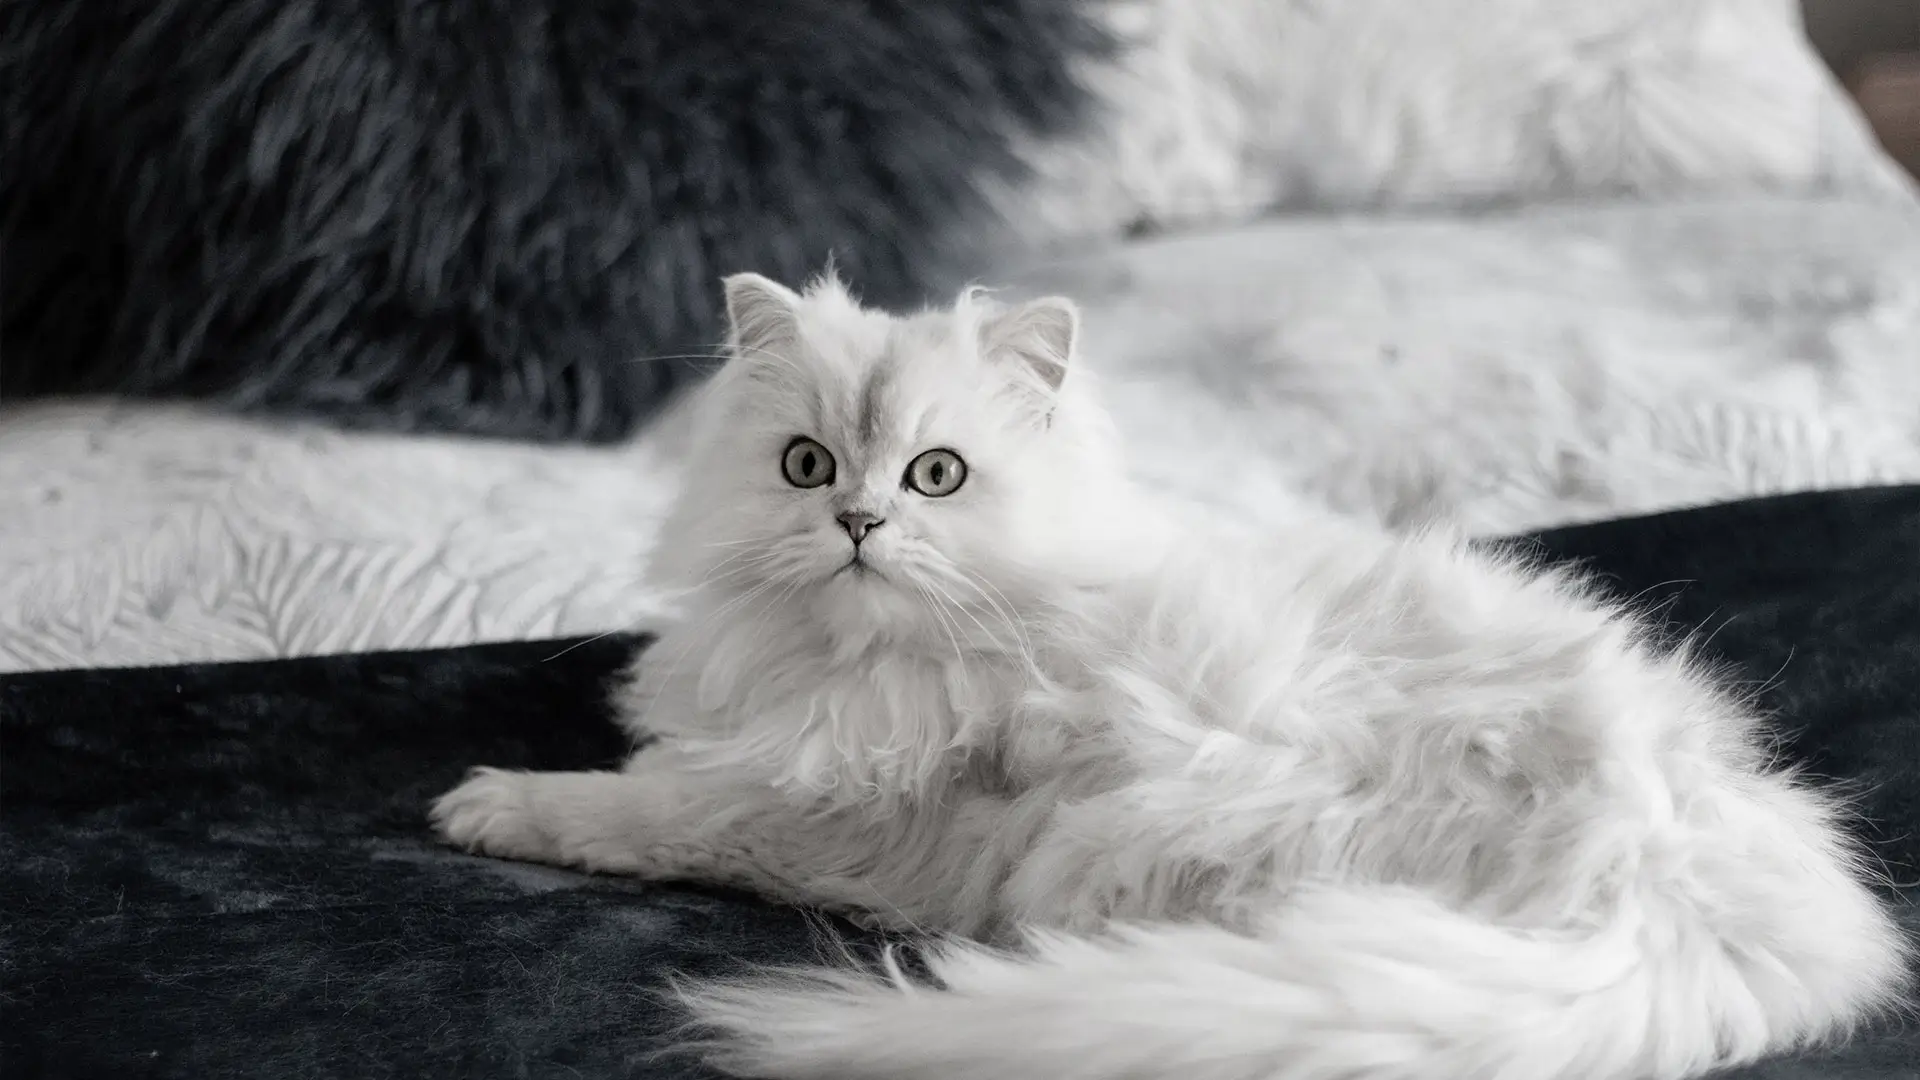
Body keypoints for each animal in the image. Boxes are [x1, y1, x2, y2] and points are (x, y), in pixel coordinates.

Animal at [435, 270, 1904, 1076]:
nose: (856, 523)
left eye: (935, 476)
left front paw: (491, 803)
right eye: (806, 465)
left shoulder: (831, 819)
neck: (868, 661)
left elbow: (645, 807)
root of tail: (1690, 853)